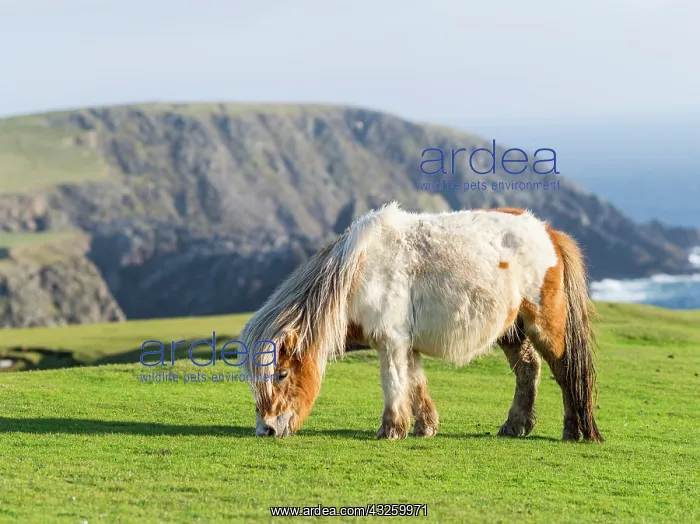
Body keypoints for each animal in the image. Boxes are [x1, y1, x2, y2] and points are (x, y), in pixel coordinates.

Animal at [240, 202, 603, 442]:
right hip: (511, 330)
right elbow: (415, 383)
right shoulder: (406, 343)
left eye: (282, 373)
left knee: (566, 371)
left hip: (546, 326)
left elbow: (393, 382)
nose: (266, 429)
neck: (358, 272)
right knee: (529, 368)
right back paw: (515, 425)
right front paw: (424, 427)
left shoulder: (391, 341)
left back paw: (573, 431)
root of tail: (550, 233)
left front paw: (390, 429)